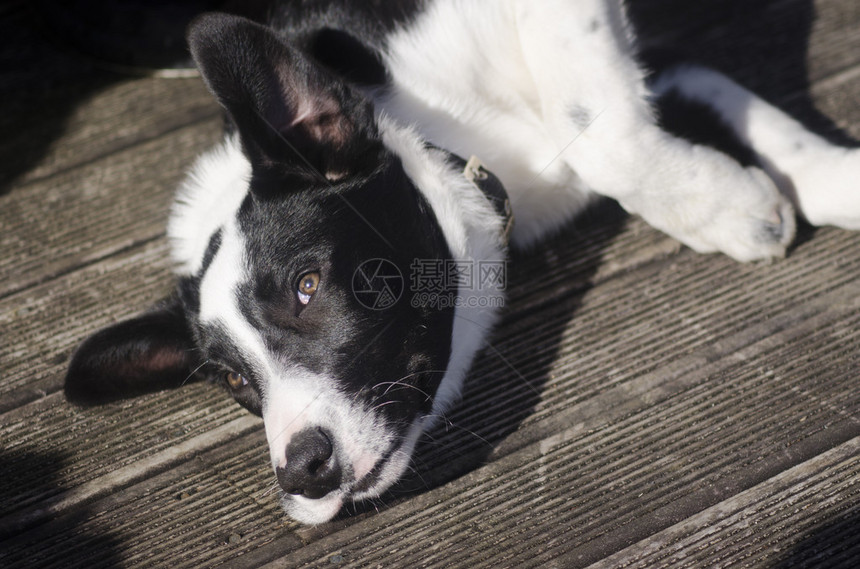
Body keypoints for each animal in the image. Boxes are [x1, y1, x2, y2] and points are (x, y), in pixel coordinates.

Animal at [65, 0, 860, 524]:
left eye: (307, 285)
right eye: (232, 381)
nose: (302, 472)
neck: (453, 133)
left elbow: (607, 134)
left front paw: (737, 204)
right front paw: (791, 188)